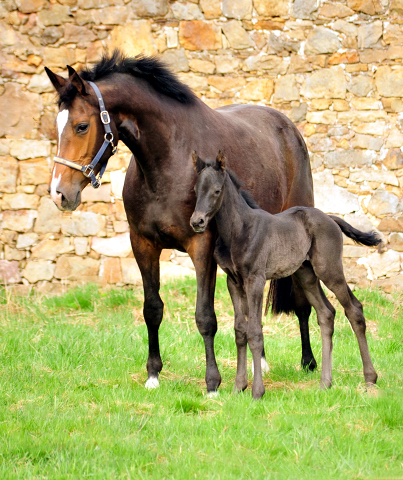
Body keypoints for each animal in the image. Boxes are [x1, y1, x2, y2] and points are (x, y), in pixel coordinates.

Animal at [193, 152, 382, 400]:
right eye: (196, 190)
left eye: (216, 190)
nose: (197, 222)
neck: (239, 230)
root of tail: (330, 218)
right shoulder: (233, 282)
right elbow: (240, 331)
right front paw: (238, 387)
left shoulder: (255, 280)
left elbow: (255, 332)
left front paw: (257, 392)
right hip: (306, 274)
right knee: (326, 314)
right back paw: (325, 383)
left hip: (329, 270)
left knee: (354, 309)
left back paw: (370, 378)